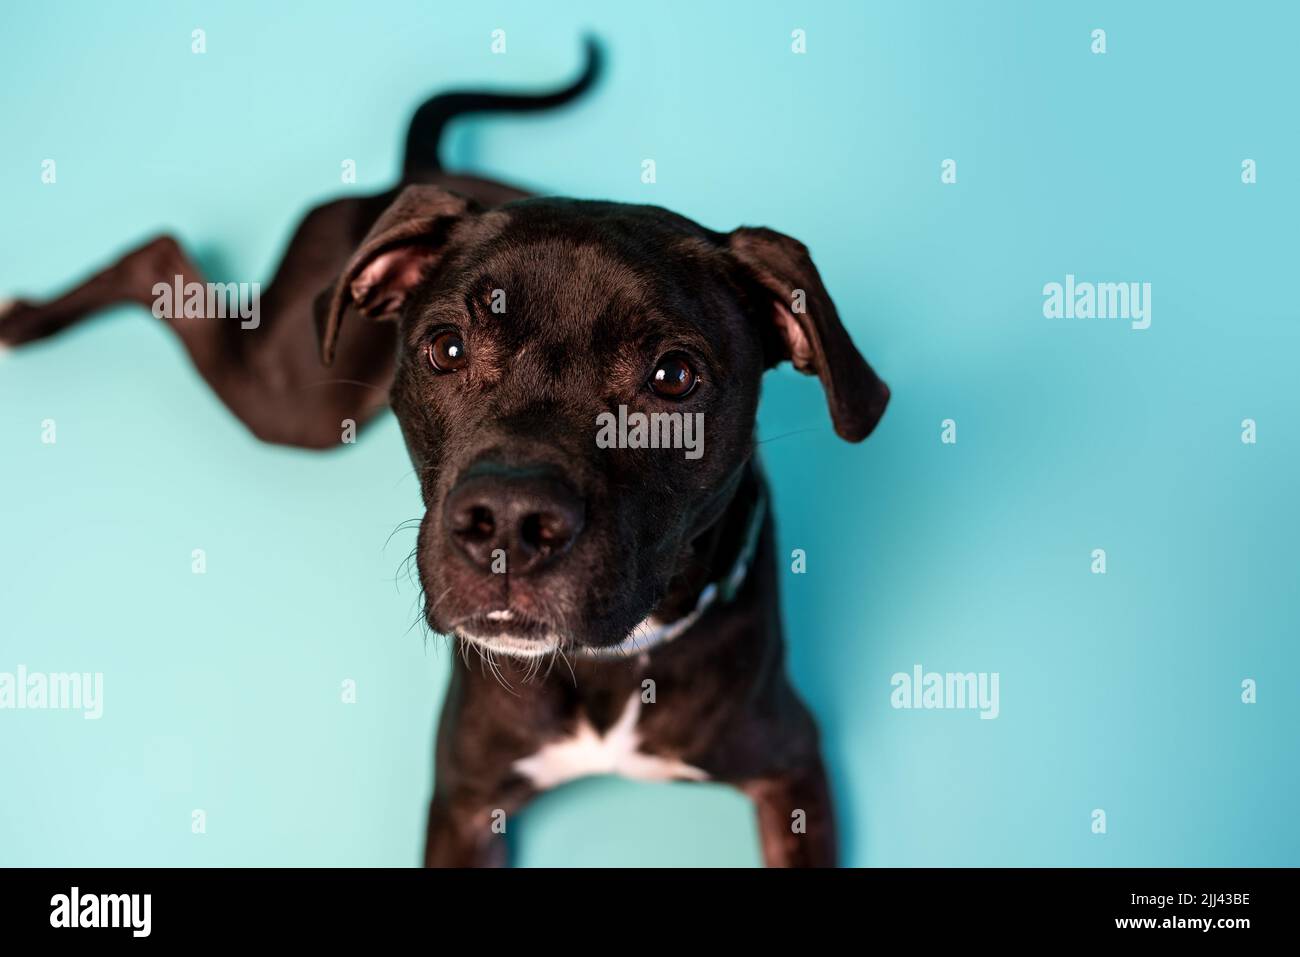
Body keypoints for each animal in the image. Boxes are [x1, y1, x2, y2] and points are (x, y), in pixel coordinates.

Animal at [0, 41, 889, 868]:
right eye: (447, 348)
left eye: (674, 376)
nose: (509, 522)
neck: (606, 665)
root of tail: (424, 170)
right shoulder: (464, 800)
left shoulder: (790, 768)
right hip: (300, 396)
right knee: (158, 256)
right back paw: (32, 320)